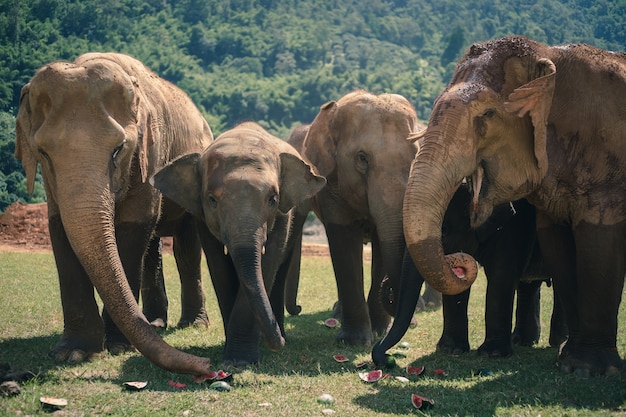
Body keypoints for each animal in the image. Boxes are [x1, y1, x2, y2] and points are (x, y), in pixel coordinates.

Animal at [14, 51, 213, 374]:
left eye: (119, 149)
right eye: (42, 153)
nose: (207, 365)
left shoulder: (151, 151)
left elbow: (134, 227)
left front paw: (119, 346)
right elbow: (59, 227)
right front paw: (74, 353)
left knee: (186, 246)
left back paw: (192, 323)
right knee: (153, 246)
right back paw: (155, 323)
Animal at [152, 120, 326, 364]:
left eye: (272, 199)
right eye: (212, 200)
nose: (278, 344)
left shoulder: (283, 216)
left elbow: (267, 263)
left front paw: (241, 359)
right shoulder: (203, 219)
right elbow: (220, 268)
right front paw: (233, 356)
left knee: (278, 272)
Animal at [302, 90, 424, 344]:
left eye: (415, 155)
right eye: (362, 158)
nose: (390, 293)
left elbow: (382, 245)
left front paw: (379, 332)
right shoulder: (331, 183)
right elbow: (344, 243)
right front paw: (353, 341)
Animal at [372, 184, 568, 366]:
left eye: (444, 230)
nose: (385, 358)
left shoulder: (516, 224)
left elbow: (501, 273)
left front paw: (492, 354)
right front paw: (450, 350)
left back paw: (557, 342)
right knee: (529, 286)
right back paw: (523, 341)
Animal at [400, 35, 624, 374]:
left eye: (487, 115)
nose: (458, 262)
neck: (550, 57)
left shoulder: (606, 175)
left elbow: (595, 246)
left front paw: (585, 369)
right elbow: (558, 248)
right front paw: (452, 351)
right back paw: (533, 343)